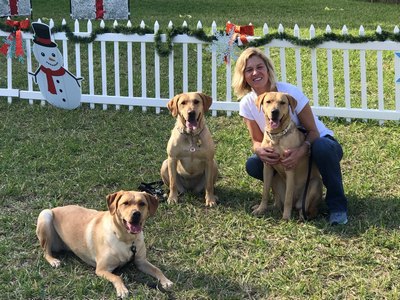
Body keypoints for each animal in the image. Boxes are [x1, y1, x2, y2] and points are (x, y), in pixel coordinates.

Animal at [34, 191, 172, 298]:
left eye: (142, 203)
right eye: (125, 203)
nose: (136, 214)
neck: (126, 239)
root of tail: (54, 208)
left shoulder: (141, 261)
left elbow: (157, 269)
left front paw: (166, 281)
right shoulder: (101, 269)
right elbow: (117, 277)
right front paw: (122, 290)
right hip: (45, 215)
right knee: (45, 251)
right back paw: (53, 260)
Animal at [252, 91, 324, 220]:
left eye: (282, 102)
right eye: (268, 101)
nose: (275, 112)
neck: (276, 136)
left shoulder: (290, 168)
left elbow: (288, 198)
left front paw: (286, 217)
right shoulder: (268, 166)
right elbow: (265, 192)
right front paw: (261, 209)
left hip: (314, 184)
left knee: (304, 208)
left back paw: (302, 217)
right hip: (275, 179)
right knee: (278, 204)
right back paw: (268, 207)